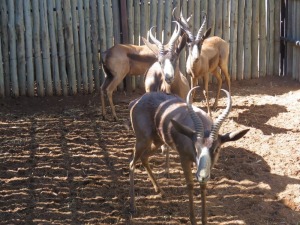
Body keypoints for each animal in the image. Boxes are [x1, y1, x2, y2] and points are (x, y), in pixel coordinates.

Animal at [129, 86, 248, 225]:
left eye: (216, 148)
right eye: (195, 147)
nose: (202, 176)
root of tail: (137, 101)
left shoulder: (202, 166)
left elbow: (203, 185)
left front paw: (204, 220)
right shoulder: (184, 159)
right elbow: (190, 185)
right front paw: (193, 220)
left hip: (158, 141)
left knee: (144, 157)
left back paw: (161, 192)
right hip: (143, 140)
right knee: (131, 163)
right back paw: (133, 206)